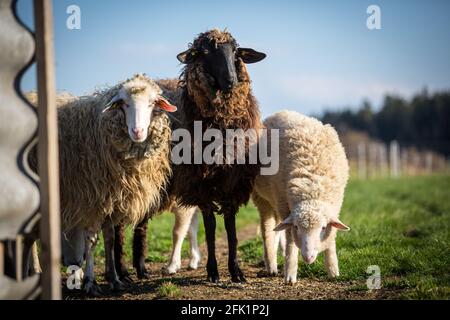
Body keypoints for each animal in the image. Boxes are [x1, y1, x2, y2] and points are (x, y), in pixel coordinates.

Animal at [28, 74, 178, 294]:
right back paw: (38, 272)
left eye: (152, 103)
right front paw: (90, 282)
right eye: (124, 103)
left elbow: (109, 238)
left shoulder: (112, 200)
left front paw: (114, 278)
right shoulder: (92, 198)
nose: (137, 131)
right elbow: (91, 240)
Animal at [118, 28, 268, 282]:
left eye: (236, 52)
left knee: (141, 221)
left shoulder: (232, 180)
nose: (231, 80)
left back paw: (141, 269)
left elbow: (231, 228)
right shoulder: (201, 183)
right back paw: (127, 271)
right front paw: (213, 271)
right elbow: (210, 228)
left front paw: (236, 271)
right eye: (205, 52)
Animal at [251, 110, 350, 284]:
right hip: (264, 199)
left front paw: (333, 270)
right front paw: (290, 274)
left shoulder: (335, 205)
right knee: (268, 230)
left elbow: (331, 239)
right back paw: (271, 265)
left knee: (277, 229)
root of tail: (280, 112)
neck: (312, 188)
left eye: (323, 228)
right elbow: (290, 242)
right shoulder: (285, 205)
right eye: (297, 227)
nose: (308, 257)